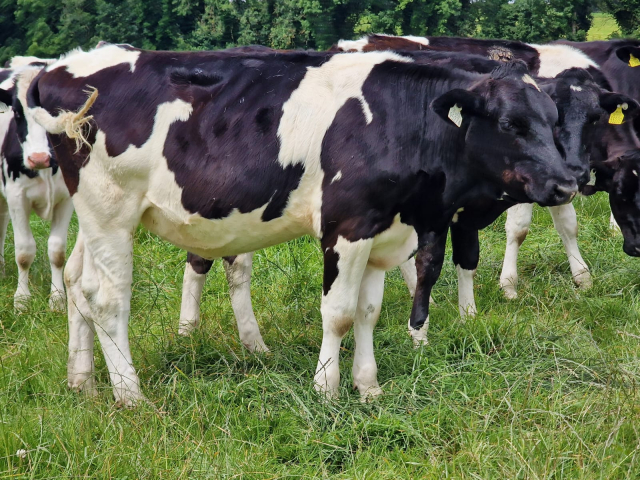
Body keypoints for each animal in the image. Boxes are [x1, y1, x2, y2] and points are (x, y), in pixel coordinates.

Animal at [0, 62, 74, 312]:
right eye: (16, 112)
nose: (39, 158)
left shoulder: (66, 199)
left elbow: (57, 251)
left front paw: (58, 299)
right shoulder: (17, 196)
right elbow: (24, 251)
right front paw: (22, 300)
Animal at [11, 45, 576, 404]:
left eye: (553, 120)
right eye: (510, 123)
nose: (568, 184)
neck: (395, 118)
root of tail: (61, 67)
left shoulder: (384, 229)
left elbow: (368, 312)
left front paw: (368, 387)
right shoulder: (347, 225)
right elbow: (340, 314)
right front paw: (326, 389)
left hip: (95, 215)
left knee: (77, 282)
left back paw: (82, 380)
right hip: (110, 208)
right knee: (106, 298)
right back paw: (130, 395)